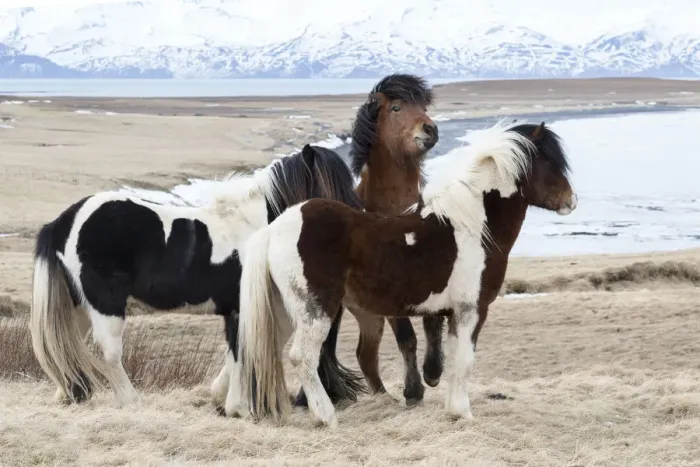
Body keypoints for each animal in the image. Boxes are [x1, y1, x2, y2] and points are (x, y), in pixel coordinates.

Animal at [29, 144, 364, 413]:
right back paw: (130, 401)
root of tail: (63, 222)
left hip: (79, 304)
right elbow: (241, 352)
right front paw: (237, 407)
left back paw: (67, 393)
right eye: (332, 182)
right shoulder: (243, 307)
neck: (255, 228)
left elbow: (236, 354)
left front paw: (221, 398)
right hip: (105, 304)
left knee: (67, 342)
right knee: (108, 352)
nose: (358, 216)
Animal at [237, 120, 578, 428]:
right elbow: (465, 361)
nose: (571, 201)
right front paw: (463, 413)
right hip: (316, 313)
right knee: (303, 357)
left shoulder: (451, 313)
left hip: (283, 313)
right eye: (550, 162)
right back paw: (326, 417)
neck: (472, 227)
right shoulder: (471, 310)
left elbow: (452, 359)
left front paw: (452, 410)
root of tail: (275, 228)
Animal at [293, 72, 439, 408]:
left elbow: (433, 322)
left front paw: (434, 371)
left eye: (423, 107)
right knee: (351, 353)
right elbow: (407, 337)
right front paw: (414, 390)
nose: (430, 129)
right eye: (397, 108)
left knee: (365, 355)